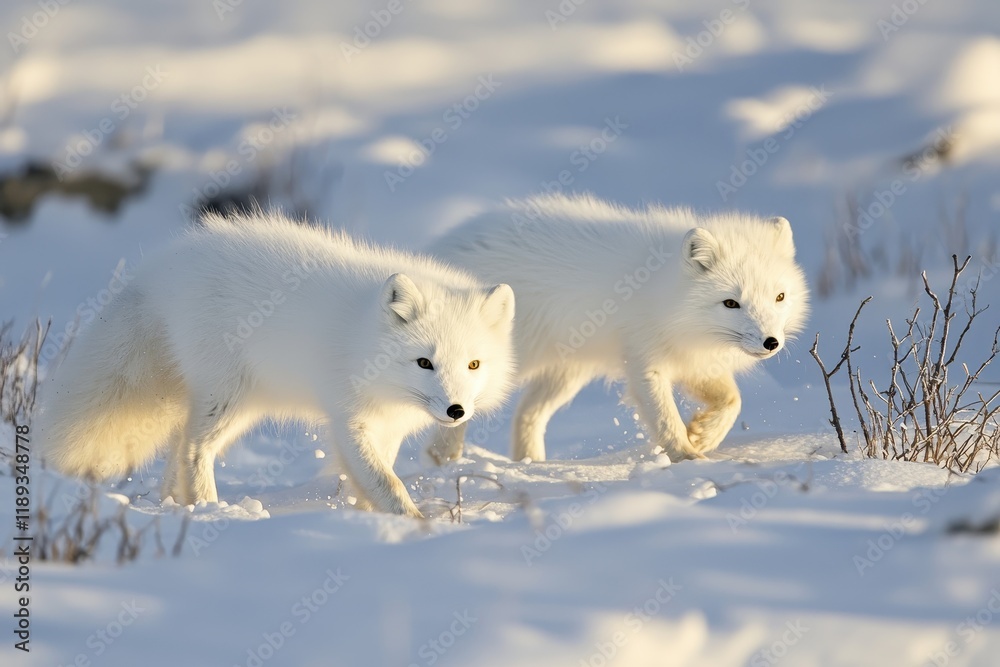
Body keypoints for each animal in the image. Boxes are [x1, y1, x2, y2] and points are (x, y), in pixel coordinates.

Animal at [36, 211, 515, 517]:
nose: (456, 410)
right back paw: (210, 510)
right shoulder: (348, 418)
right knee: (193, 449)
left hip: (244, 405)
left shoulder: (389, 426)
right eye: (424, 362)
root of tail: (160, 270)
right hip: (227, 396)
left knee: (179, 446)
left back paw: (175, 506)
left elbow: (377, 474)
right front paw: (416, 525)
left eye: (474, 364)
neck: (362, 338)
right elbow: (386, 481)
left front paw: (368, 517)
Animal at [425, 193, 809, 464]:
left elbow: (732, 400)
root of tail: (444, 248)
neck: (664, 293)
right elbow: (666, 420)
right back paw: (446, 462)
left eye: (779, 297)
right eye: (731, 303)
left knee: (526, 415)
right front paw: (689, 458)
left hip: (566, 374)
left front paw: (703, 435)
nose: (771, 342)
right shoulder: (644, 363)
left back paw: (532, 465)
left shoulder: (693, 359)